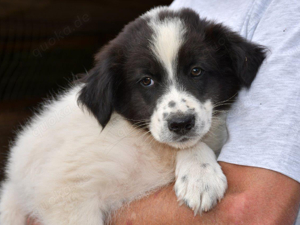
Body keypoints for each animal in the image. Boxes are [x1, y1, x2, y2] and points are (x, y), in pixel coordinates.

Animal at [0, 7, 264, 225]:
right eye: (146, 81)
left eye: (196, 71)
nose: (180, 124)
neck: (146, 145)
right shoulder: (65, 191)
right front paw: (200, 175)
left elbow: (194, 143)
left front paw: (200, 176)